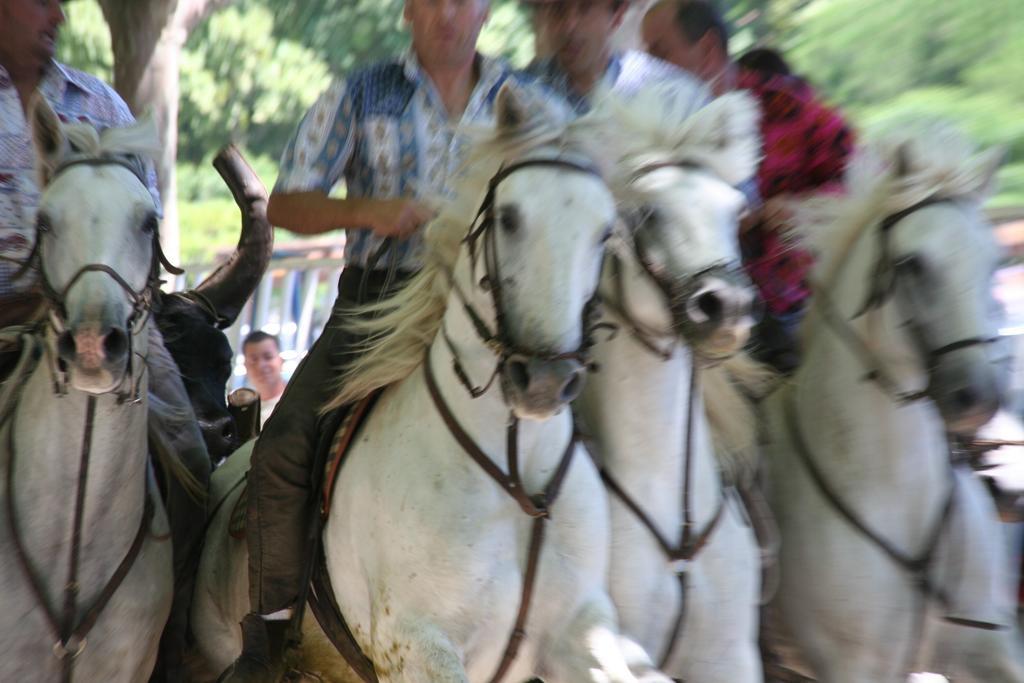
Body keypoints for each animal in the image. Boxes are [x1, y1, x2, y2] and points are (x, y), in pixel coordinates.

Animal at [193, 82, 671, 679]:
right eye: (509, 217)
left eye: (605, 233)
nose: (543, 380)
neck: (513, 472)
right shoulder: (418, 645)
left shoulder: (581, 629)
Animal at [761, 125, 1024, 679]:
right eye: (912, 264)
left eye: (992, 261)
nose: (975, 396)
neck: (899, 495)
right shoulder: (854, 665)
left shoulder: (990, 647)